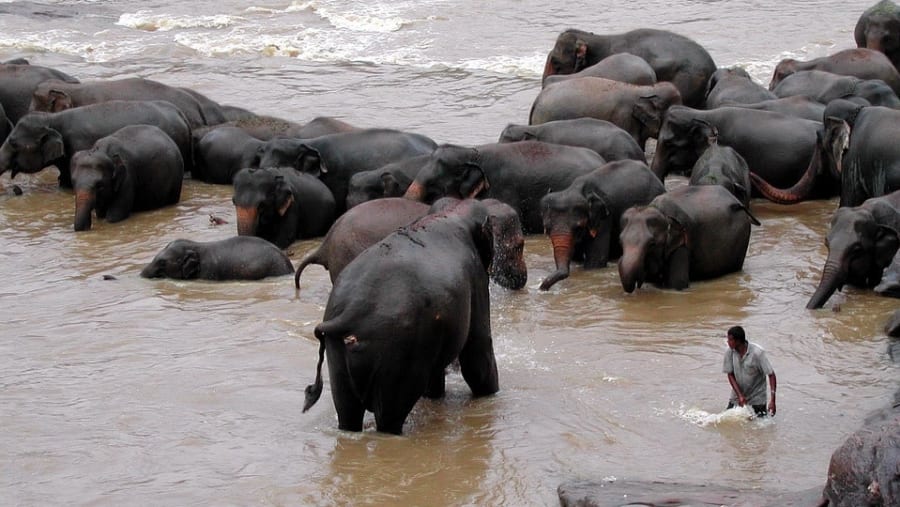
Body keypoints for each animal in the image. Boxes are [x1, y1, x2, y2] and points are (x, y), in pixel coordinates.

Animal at [303, 198, 499, 435]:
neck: (451, 213)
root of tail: (349, 313)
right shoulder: (476, 277)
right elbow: (477, 352)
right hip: (401, 351)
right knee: (390, 413)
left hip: (338, 354)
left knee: (347, 410)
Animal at [538, 159, 665, 291]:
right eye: (547, 229)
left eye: (578, 228)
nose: (542, 287)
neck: (576, 189)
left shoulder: (604, 217)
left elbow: (596, 260)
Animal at [618, 185, 761, 293]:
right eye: (621, 242)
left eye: (652, 243)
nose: (638, 283)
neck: (662, 213)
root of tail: (738, 202)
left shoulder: (682, 245)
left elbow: (677, 284)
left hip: (741, 236)